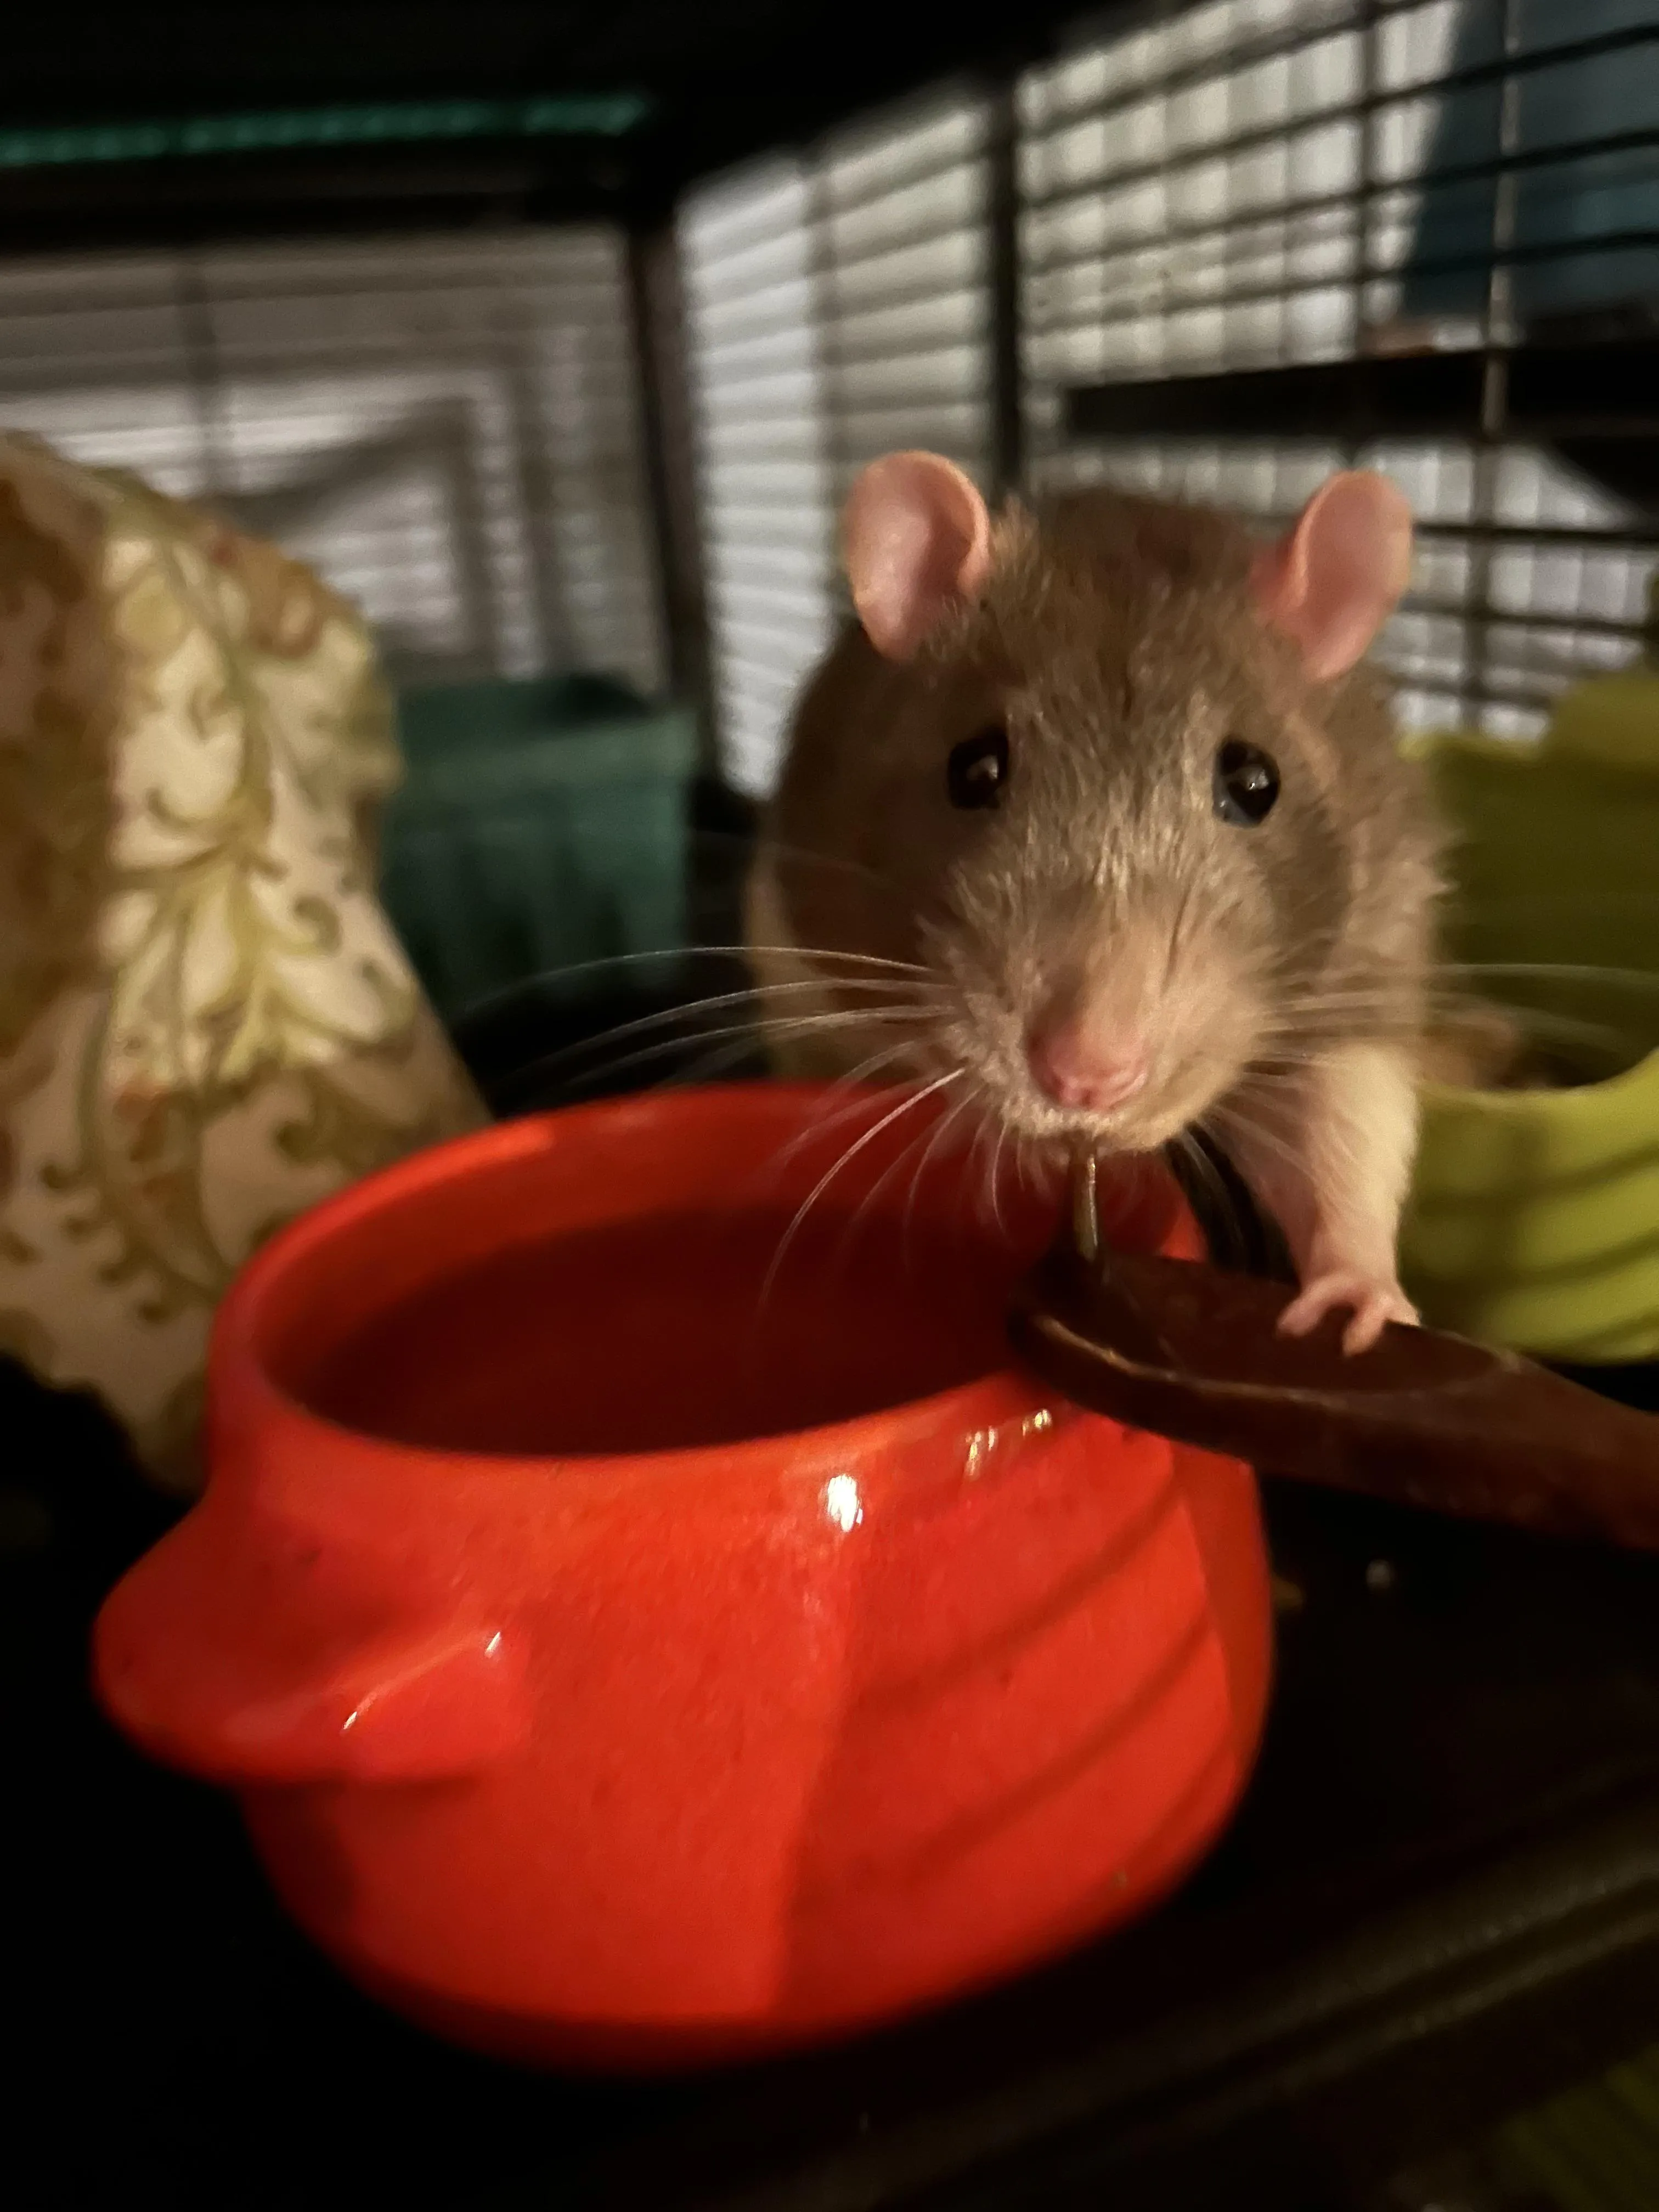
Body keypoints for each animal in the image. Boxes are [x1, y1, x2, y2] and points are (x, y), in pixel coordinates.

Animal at [746, 451, 1444, 1354]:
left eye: (1255, 781)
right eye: (974, 768)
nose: (1087, 1077)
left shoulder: (1368, 947)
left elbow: (1345, 1112)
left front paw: (1356, 1284)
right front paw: (1002, 1135)